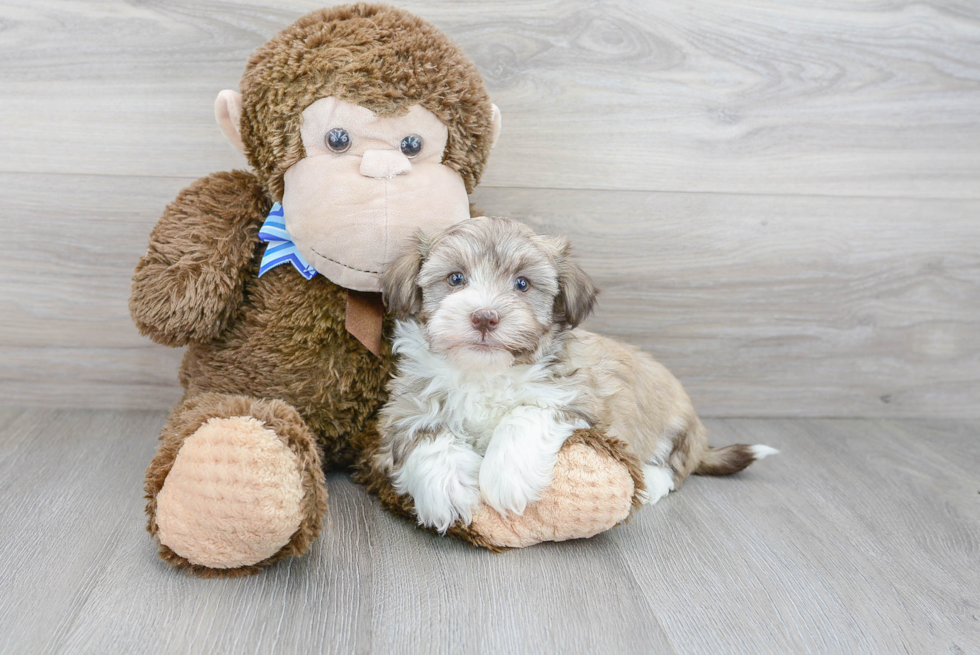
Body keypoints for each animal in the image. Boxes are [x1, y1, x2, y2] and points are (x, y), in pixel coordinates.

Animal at [374, 218, 772, 536]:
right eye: (455, 278)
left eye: (522, 284)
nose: (484, 317)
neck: (485, 371)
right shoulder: (407, 406)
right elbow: (427, 436)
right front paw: (449, 490)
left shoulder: (578, 395)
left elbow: (526, 413)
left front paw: (505, 478)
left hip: (675, 424)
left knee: (674, 468)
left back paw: (652, 481)